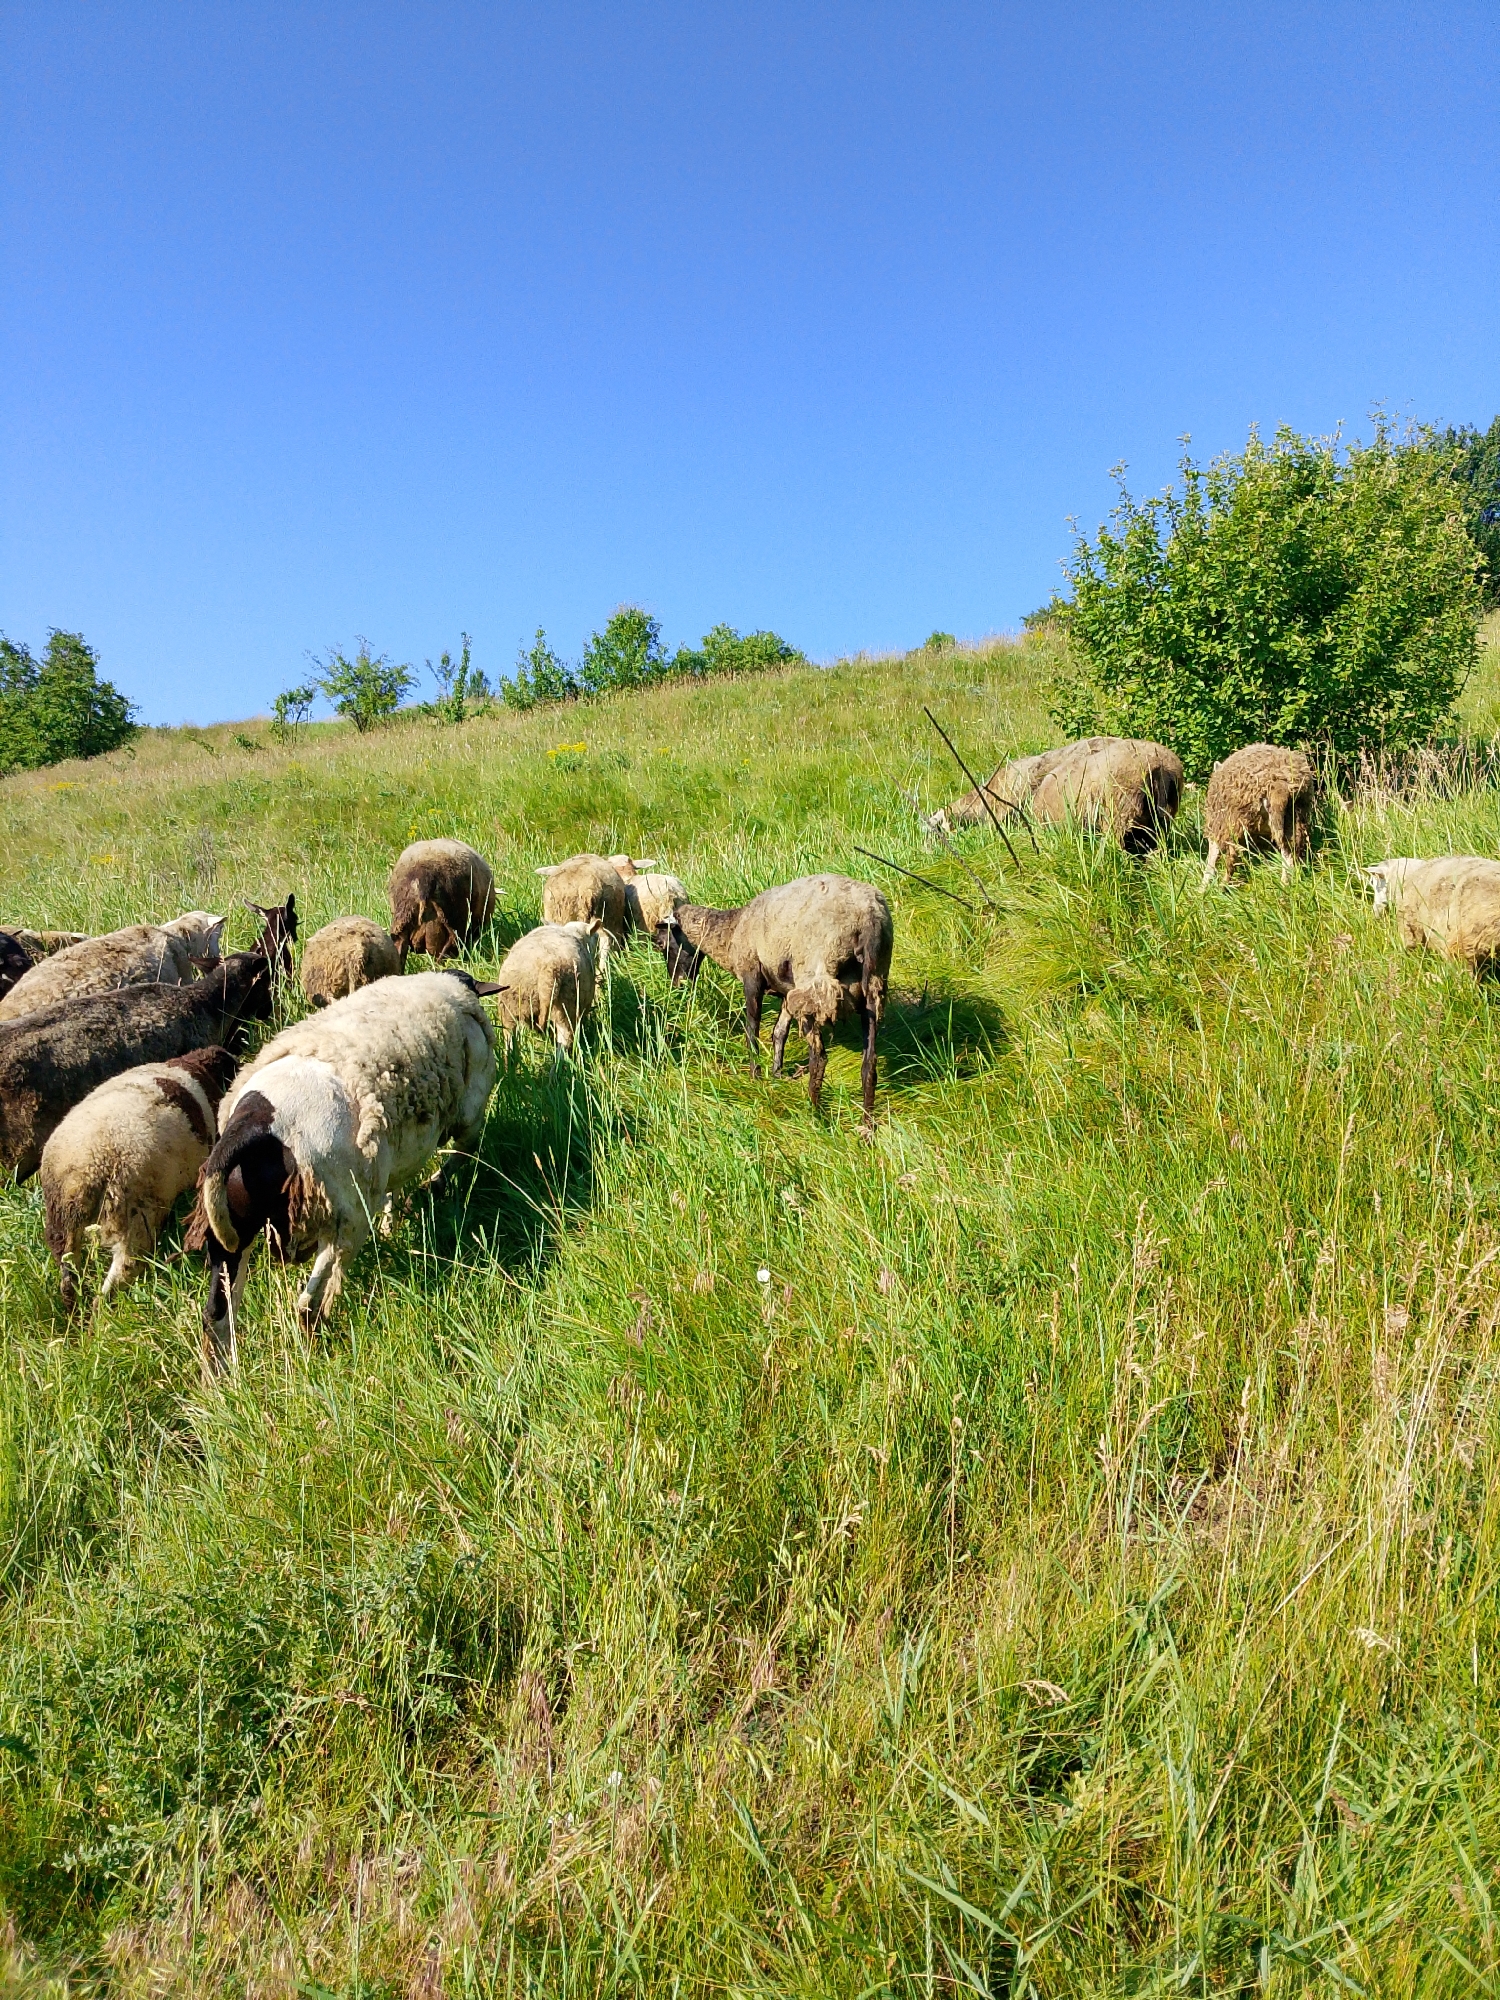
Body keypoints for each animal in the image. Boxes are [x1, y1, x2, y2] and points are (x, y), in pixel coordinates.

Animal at [40, 1045, 238, 1309]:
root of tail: (89, 1170)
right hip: (136, 1217)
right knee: (122, 1271)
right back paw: (101, 1313)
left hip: (62, 1216)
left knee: (67, 1265)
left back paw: (73, 1308)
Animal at [187, 971, 499, 1364]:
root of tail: (253, 1126)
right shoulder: (469, 1115)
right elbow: (462, 1155)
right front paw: (427, 1191)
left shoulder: (387, 1159)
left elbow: (396, 1188)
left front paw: (393, 1222)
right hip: (344, 1216)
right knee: (307, 1303)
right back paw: (314, 1346)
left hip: (234, 1232)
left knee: (217, 1314)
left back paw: (223, 1374)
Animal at [493, 920, 601, 1054]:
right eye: (596, 937)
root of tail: (549, 968)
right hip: (567, 1004)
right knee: (565, 1040)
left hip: (510, 1007)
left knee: (509, 1039)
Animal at [652, 873, 893, 1126]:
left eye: (660, 943)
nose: (677, 986)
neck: (732, 932)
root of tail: (868, 918)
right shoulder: (787, 991)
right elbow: (779, 1033)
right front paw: (776, 1074)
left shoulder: (752, 978)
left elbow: (752, 1030)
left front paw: (755, 1076)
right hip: (873, 985)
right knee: (869, 1063)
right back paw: (867, 1124)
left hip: (815, 982)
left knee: (819, 1058)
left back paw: (814, 1114)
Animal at [1202, 743, 1317, 886]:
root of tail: (1279, 782)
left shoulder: (1217, 822)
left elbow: (1213, 854)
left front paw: (1204, 885)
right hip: (1295, 814)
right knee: (1290, 850)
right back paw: (1286, 884)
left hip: (1232, 819)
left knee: (1231, 857)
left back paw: (1222, 885)